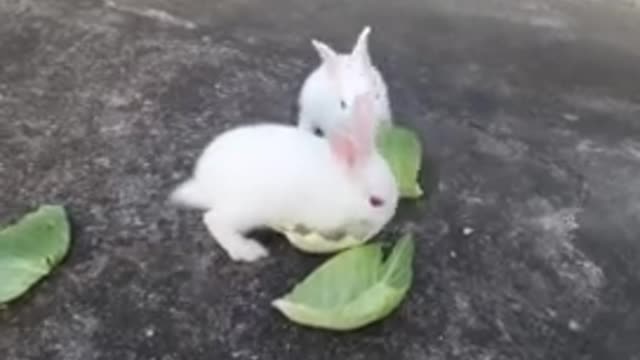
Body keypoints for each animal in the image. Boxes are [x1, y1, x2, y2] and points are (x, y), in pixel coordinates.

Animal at [170, 93, 400, 262]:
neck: (343, 187)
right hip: (248, 209)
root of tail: (204, 184)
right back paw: (247, 251)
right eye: (375, 202)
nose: (387, 220)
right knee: (214, 220)